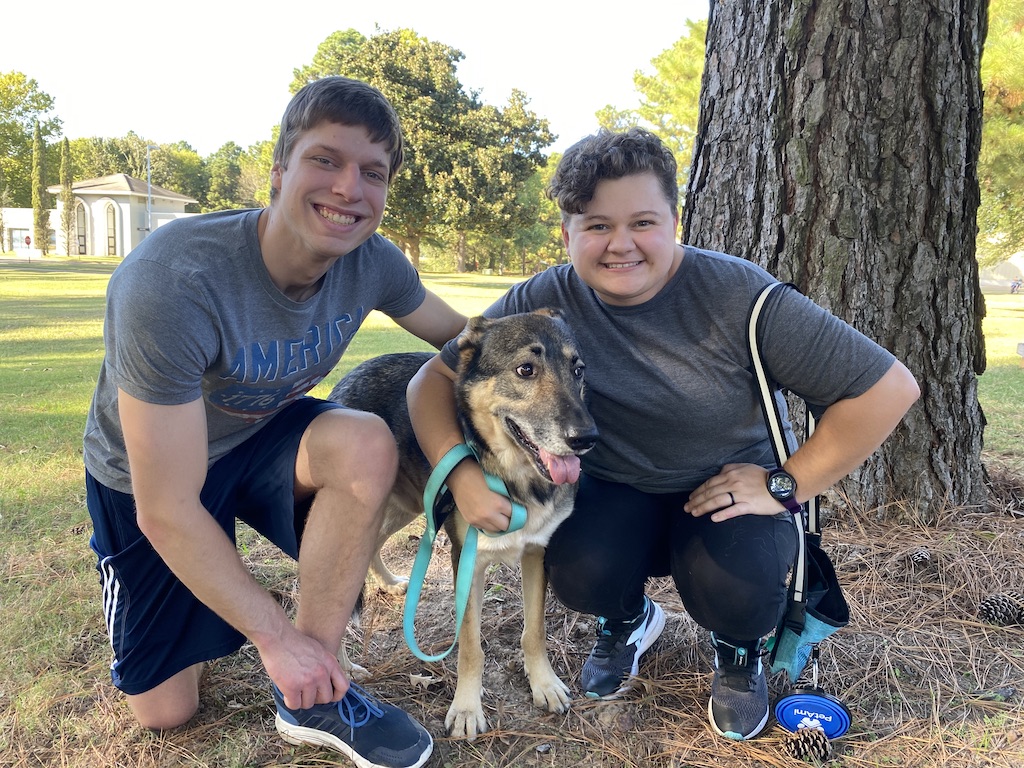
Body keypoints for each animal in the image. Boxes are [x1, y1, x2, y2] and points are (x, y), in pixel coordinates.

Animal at [327, 309, 598, 741]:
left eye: (578, 370)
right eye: (525, 369)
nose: (586, 438)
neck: (514, 479)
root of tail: (352, 373)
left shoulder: (536, 553)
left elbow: (534, 630)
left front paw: (543, 683)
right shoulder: (466, 559)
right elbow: (470, 645)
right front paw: (467, 708)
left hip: (408, 506)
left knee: (374, 546)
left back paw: (390, 583)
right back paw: (343, 667)